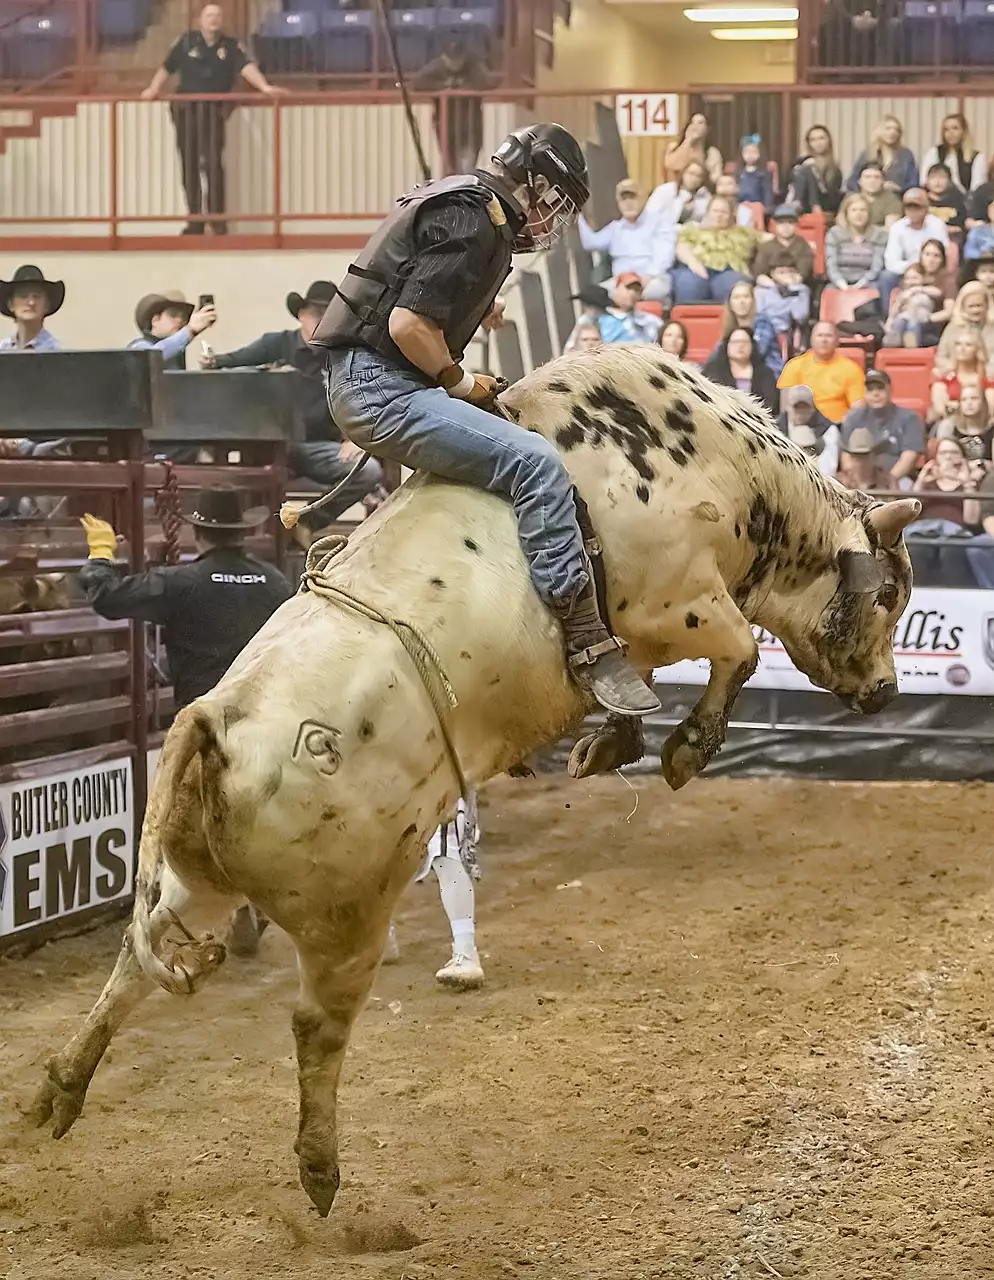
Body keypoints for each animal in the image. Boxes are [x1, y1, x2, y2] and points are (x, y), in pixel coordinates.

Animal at [29, 344, 920, 1217]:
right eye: (888, 593)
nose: (886, 692)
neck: (720, 462)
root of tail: (214, 721)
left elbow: (626, 681)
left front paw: (608, 742)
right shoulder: (683, 603)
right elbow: (734, 651)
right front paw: (685, 750)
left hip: (202, 877)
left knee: (136, 961)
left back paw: (61, 1089)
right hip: (346, 912)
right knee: (315, 1022)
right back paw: (319, 1169)